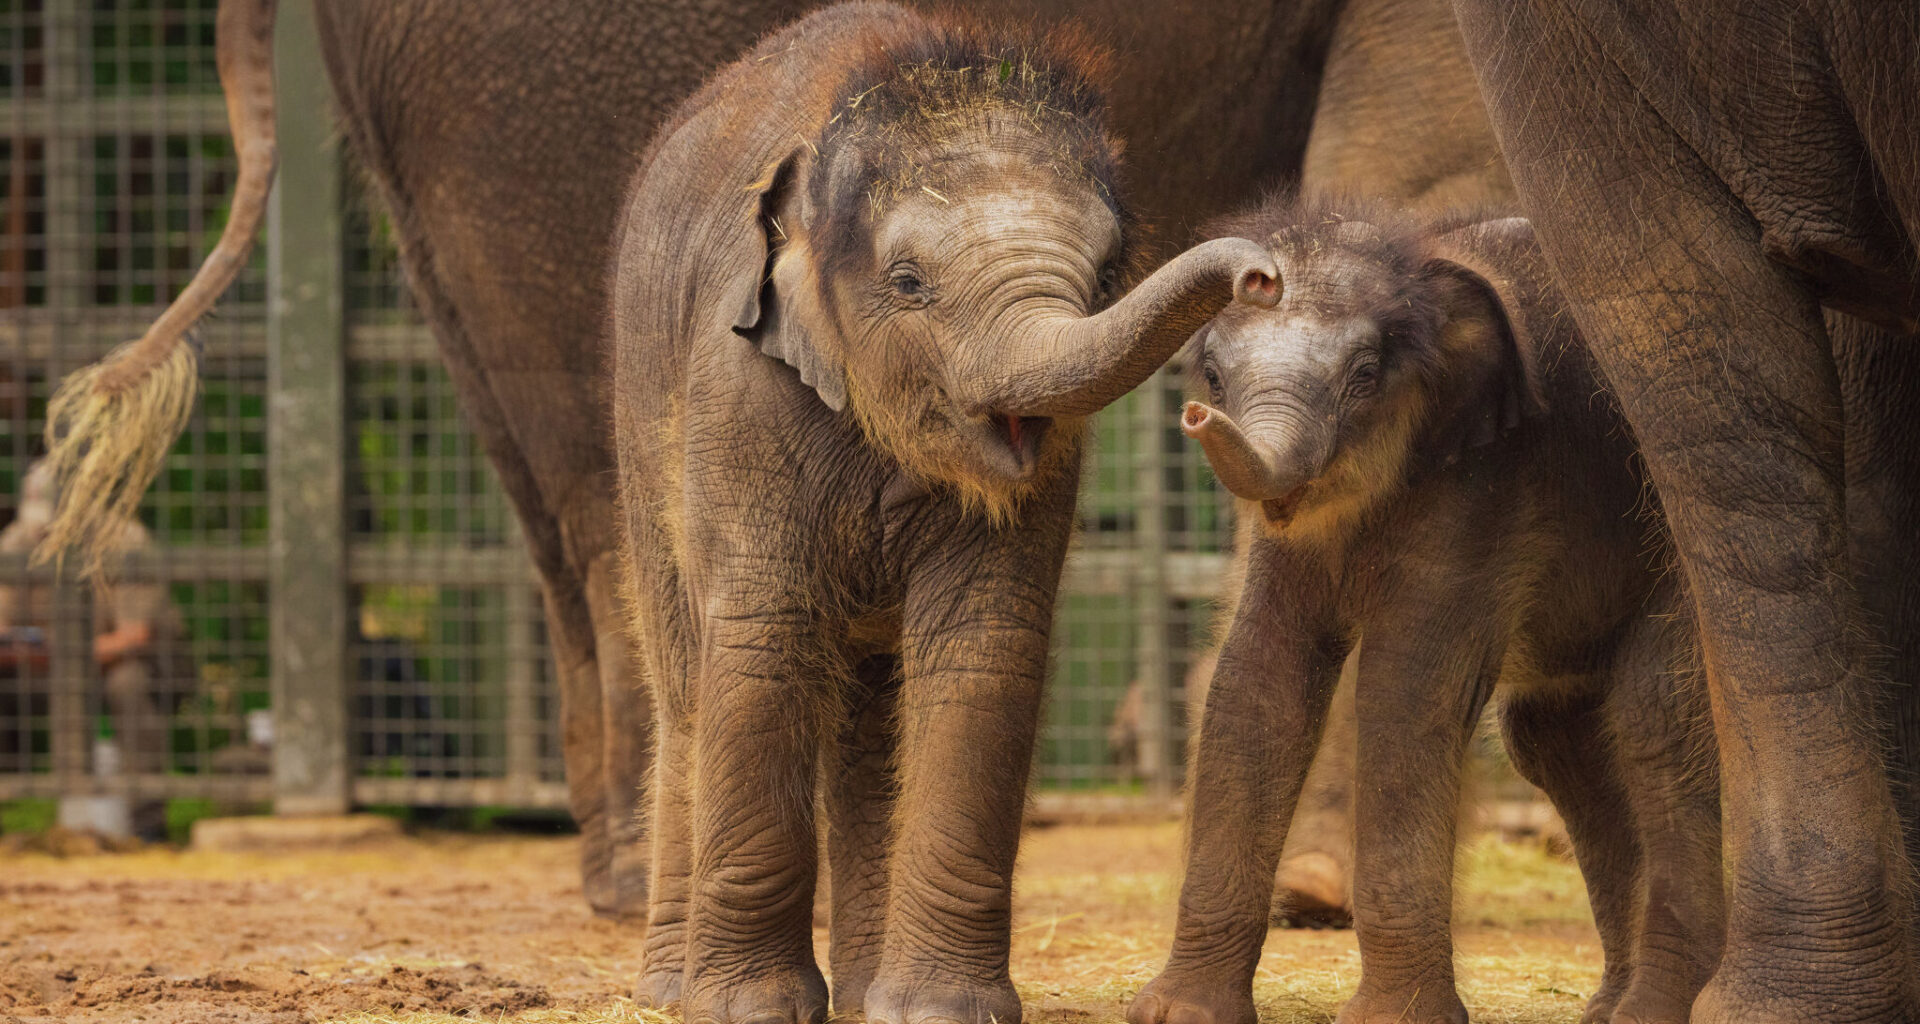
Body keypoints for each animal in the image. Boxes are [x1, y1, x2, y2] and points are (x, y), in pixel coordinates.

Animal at [603, 6, 1280, 1024]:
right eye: (910, 283)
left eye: (1105, 273)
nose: (1265, 277)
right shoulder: (738, 392)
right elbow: (764, 639)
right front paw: (750, 1010)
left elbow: (983, 645)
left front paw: (940, 1010)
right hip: (641, 445)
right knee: (688, 683)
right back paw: (670, 989)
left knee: (870, 728)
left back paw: (863, 995)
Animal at [1127, 199, 1723, 1024]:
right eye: (1213, 374)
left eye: (1365, 377)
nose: (1192, 415)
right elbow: (1256, 686)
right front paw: (1177, 1013)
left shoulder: (1491, 480)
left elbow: (1406, 691)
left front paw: (1391, 1019)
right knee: (1554, 740)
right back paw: (1609, 1007)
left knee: (1657, 715)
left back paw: (1658, 1007)